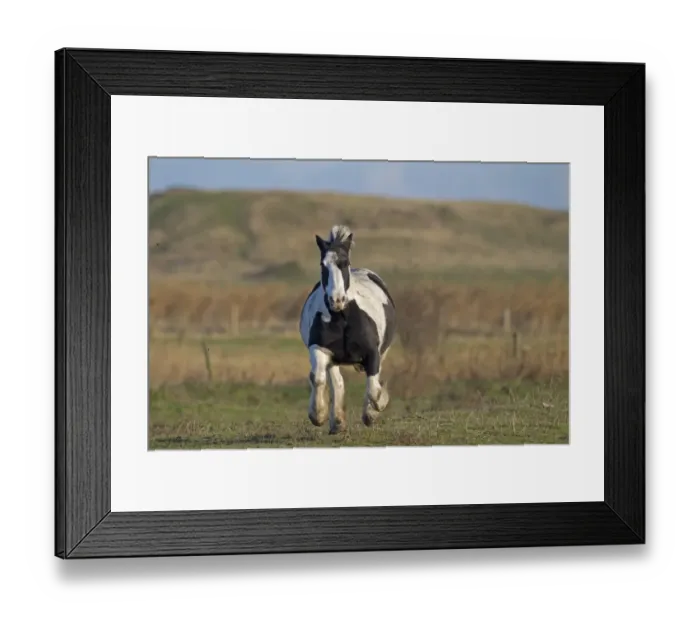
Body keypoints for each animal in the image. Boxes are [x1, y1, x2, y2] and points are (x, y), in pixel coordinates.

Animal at [298, 225, 397, 435]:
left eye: (345, 263)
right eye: (322, 265)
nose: (336, 300)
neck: (342, 317)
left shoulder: (372, 353)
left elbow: (374, 390)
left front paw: (374, 412)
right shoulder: (319, 348)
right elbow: (317, 378)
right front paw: (318, 415)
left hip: (381, 352)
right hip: (334, 359)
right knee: (337, 382)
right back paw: (337, 423)